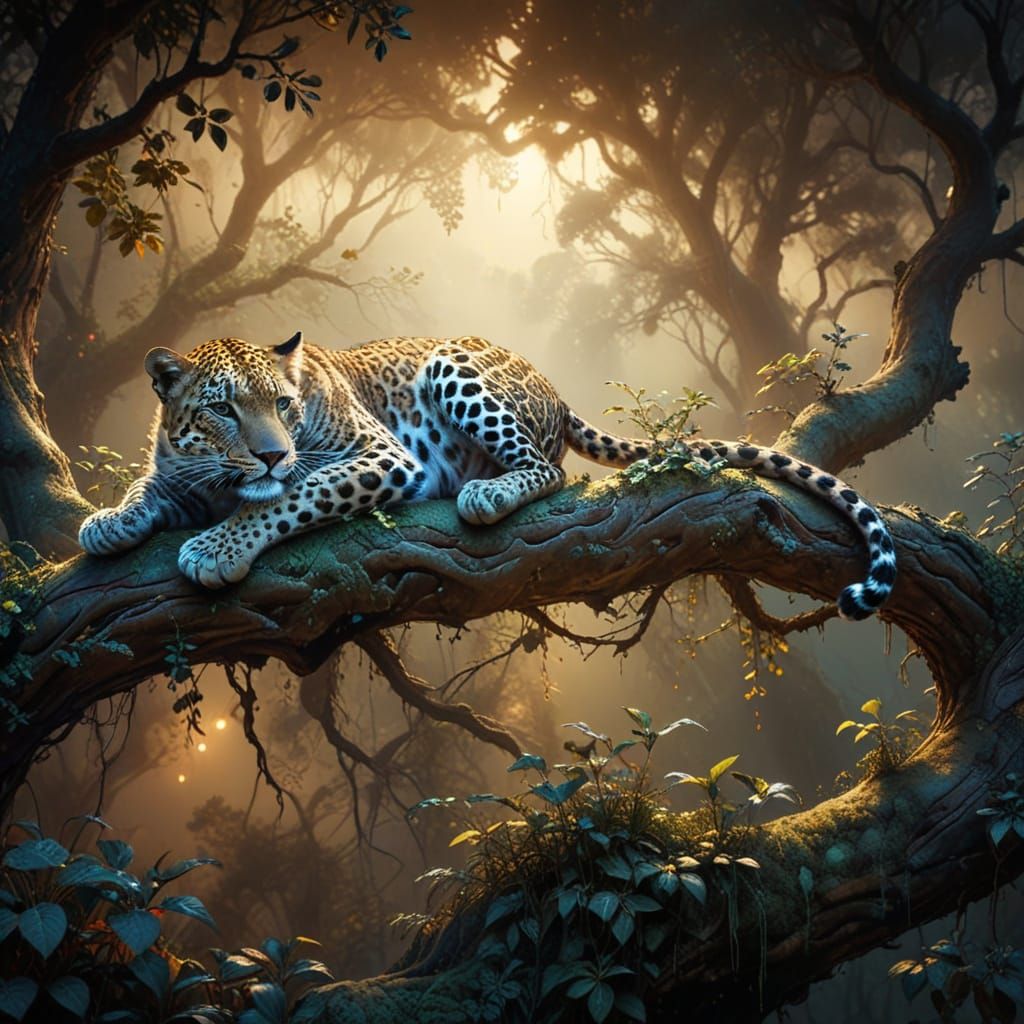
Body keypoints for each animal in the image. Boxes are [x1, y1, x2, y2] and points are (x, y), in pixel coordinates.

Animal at [78, 332, 896, 619]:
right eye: (223, 409)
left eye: (283, 403)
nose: (273, 452)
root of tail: (553, 388)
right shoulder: (183, 470)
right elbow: (151, 486)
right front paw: (108, 522)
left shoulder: (381, 457)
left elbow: (290, 497)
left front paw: (216, 548)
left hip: (454, 368)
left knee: (549, 472)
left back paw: (484, 492)